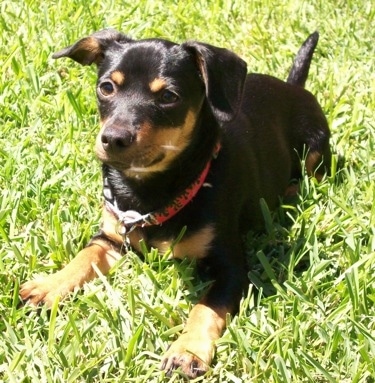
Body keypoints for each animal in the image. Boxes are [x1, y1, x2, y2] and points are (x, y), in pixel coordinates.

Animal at [21, 29, 332, 378]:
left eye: (169, 96)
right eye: (106, 87)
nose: (113, 138)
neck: (149, 192)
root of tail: (294, 87)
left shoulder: (231, 268)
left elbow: (206, 307)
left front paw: (188, 350)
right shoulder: (113, 237)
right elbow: (83, 257)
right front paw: (48, 286)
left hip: (316, 150)